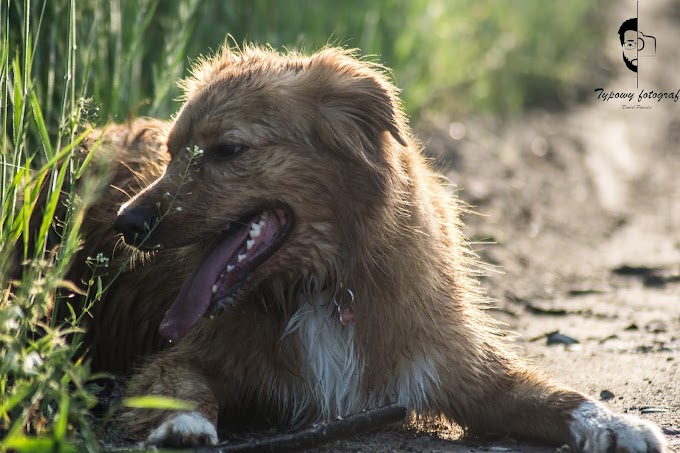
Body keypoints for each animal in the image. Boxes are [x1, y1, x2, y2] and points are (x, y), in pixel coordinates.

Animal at [74, 45, 664, 448]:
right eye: (172, 153)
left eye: (227, 150)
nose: (128, 222)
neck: (324, 285)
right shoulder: (183, 356)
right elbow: (181, 388)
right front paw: (182, 425)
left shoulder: (455, 365)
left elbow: (552, 394)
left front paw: (615, 423)